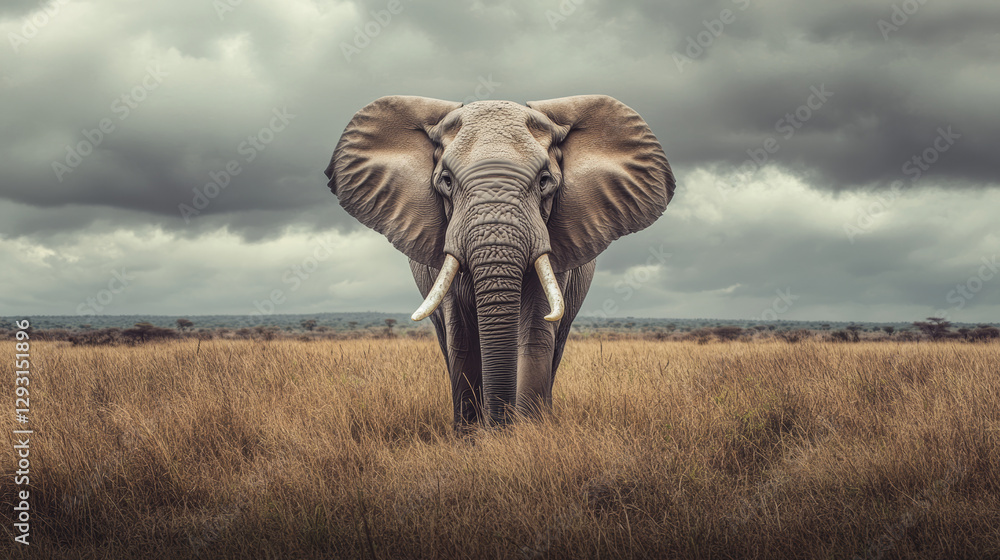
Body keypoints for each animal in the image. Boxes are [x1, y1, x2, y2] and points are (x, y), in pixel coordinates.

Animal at [325, 95, 675, 430]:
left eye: (545, 180)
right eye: (446, 181)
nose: (499, 425)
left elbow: (535, 330)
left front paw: (527, 433)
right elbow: (462, 337)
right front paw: (471, 437)